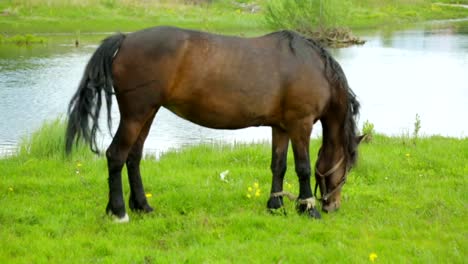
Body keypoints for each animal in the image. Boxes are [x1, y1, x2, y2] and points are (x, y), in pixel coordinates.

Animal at [66, 25, 364, 222]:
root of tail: (126, 39)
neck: (310, 66)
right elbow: (302, 167)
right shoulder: (300, 125)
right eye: (348, 168)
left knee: (133, 157)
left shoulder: (280, 127)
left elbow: (278, 166)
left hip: (147, 115)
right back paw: (119, 212)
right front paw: (308, 208)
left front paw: (275, 205)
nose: (332, 206)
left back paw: (142, 207)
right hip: (136, 115)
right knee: (115, 155)